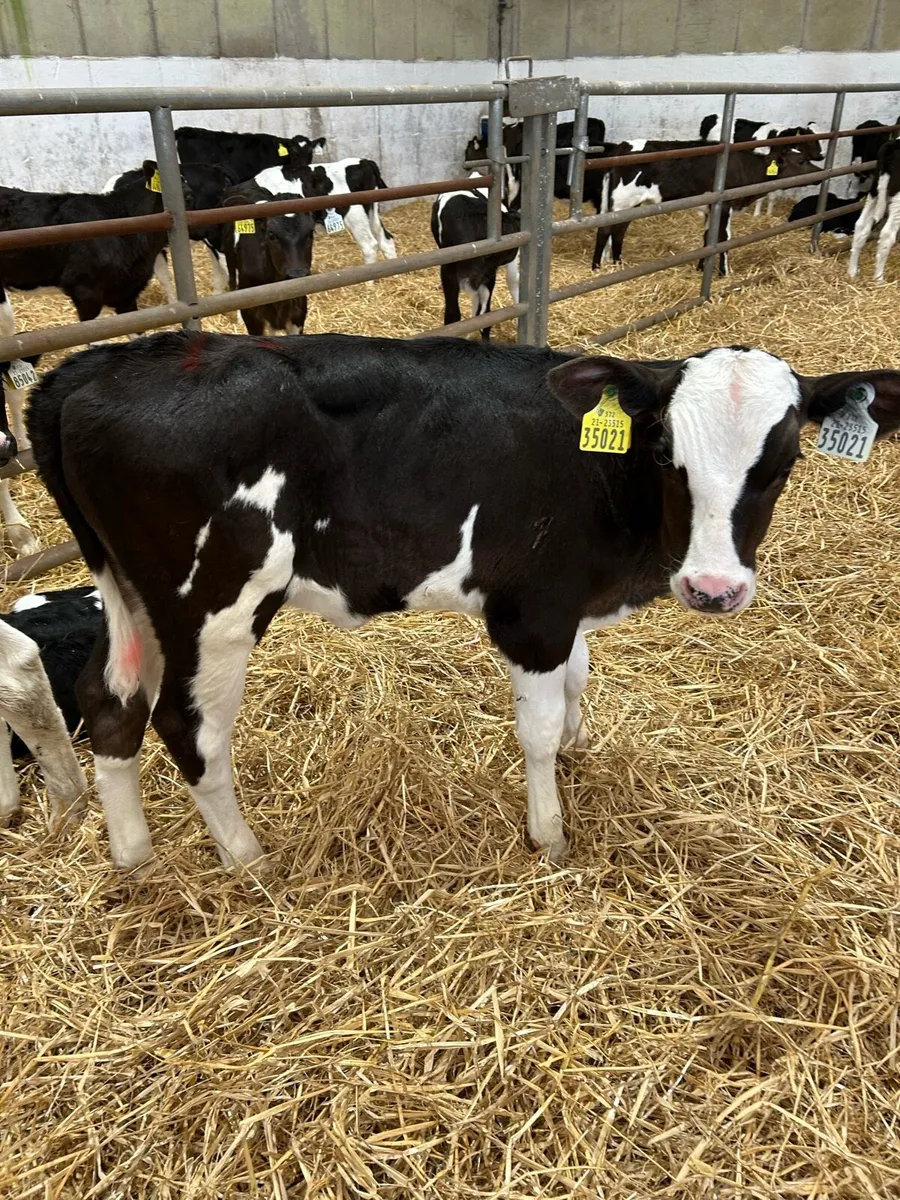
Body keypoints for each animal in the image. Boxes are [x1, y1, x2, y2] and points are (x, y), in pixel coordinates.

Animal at [27, 330, 900, 874]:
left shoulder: (567, 607)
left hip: (129, 593)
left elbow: (580, 679)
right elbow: (538, 728)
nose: (713, 588)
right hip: (213, 603)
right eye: (664, 452)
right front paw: (550, 834)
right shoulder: (532, 612)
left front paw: (579, 750)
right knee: (188, 728)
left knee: (108, 700)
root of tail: (95, 365)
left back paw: (134, 858)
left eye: (783, 463)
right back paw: (249, 862)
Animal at [595, 144, 815, 273]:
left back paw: (617, 265)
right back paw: (597, 268)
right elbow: (723, 238)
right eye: (801, 160)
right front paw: (725, 272)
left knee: (617, 231)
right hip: (624, 200)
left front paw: (701, 268)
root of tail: (622, 147)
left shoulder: (711, 209)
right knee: (607, 230)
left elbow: (708, 237)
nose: (819, 172)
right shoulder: (724, 205)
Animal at [848, 140, 900, 282]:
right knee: (887, 235)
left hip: (874, 192)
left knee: (861, 226)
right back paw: (879, 278)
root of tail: (893, 144)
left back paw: (852, 272)